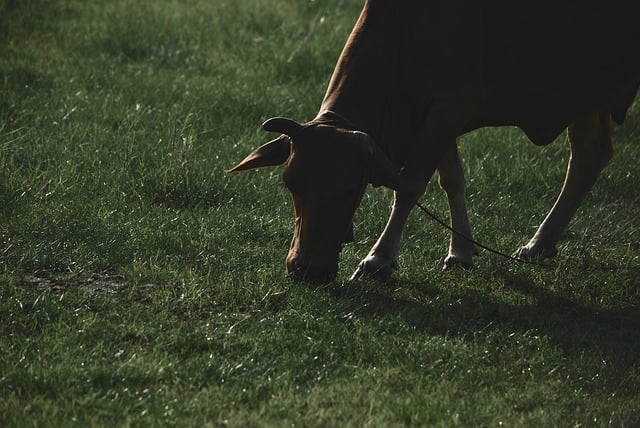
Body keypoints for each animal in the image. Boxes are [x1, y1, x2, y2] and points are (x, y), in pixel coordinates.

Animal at [229, 0, 640, 284]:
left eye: (348, 188)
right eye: (290, 183)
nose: (305, 270)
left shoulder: (449, 106)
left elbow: (410, 185)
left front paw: (379, 259)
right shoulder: (434, 112)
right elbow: (451, 178)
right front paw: (461, 252)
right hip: (587, 94)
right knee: (589, 157)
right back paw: (540, 245)